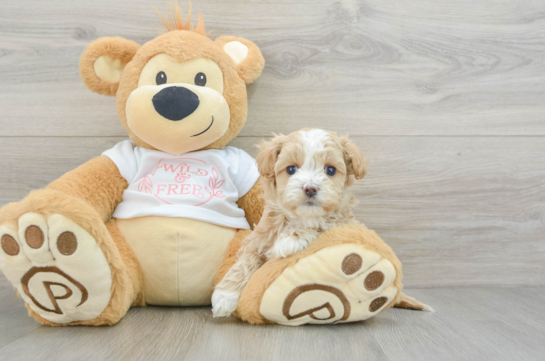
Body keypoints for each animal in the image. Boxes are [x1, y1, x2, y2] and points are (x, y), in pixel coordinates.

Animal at [210, 128, 368, 316]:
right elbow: (245, 261)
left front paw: (290, 239)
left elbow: (320, 225)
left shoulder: (342, 222)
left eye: (330, 170)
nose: (310, 188)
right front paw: (224, 296)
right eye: (291, 169)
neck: (300, 217)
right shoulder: (259, 238)